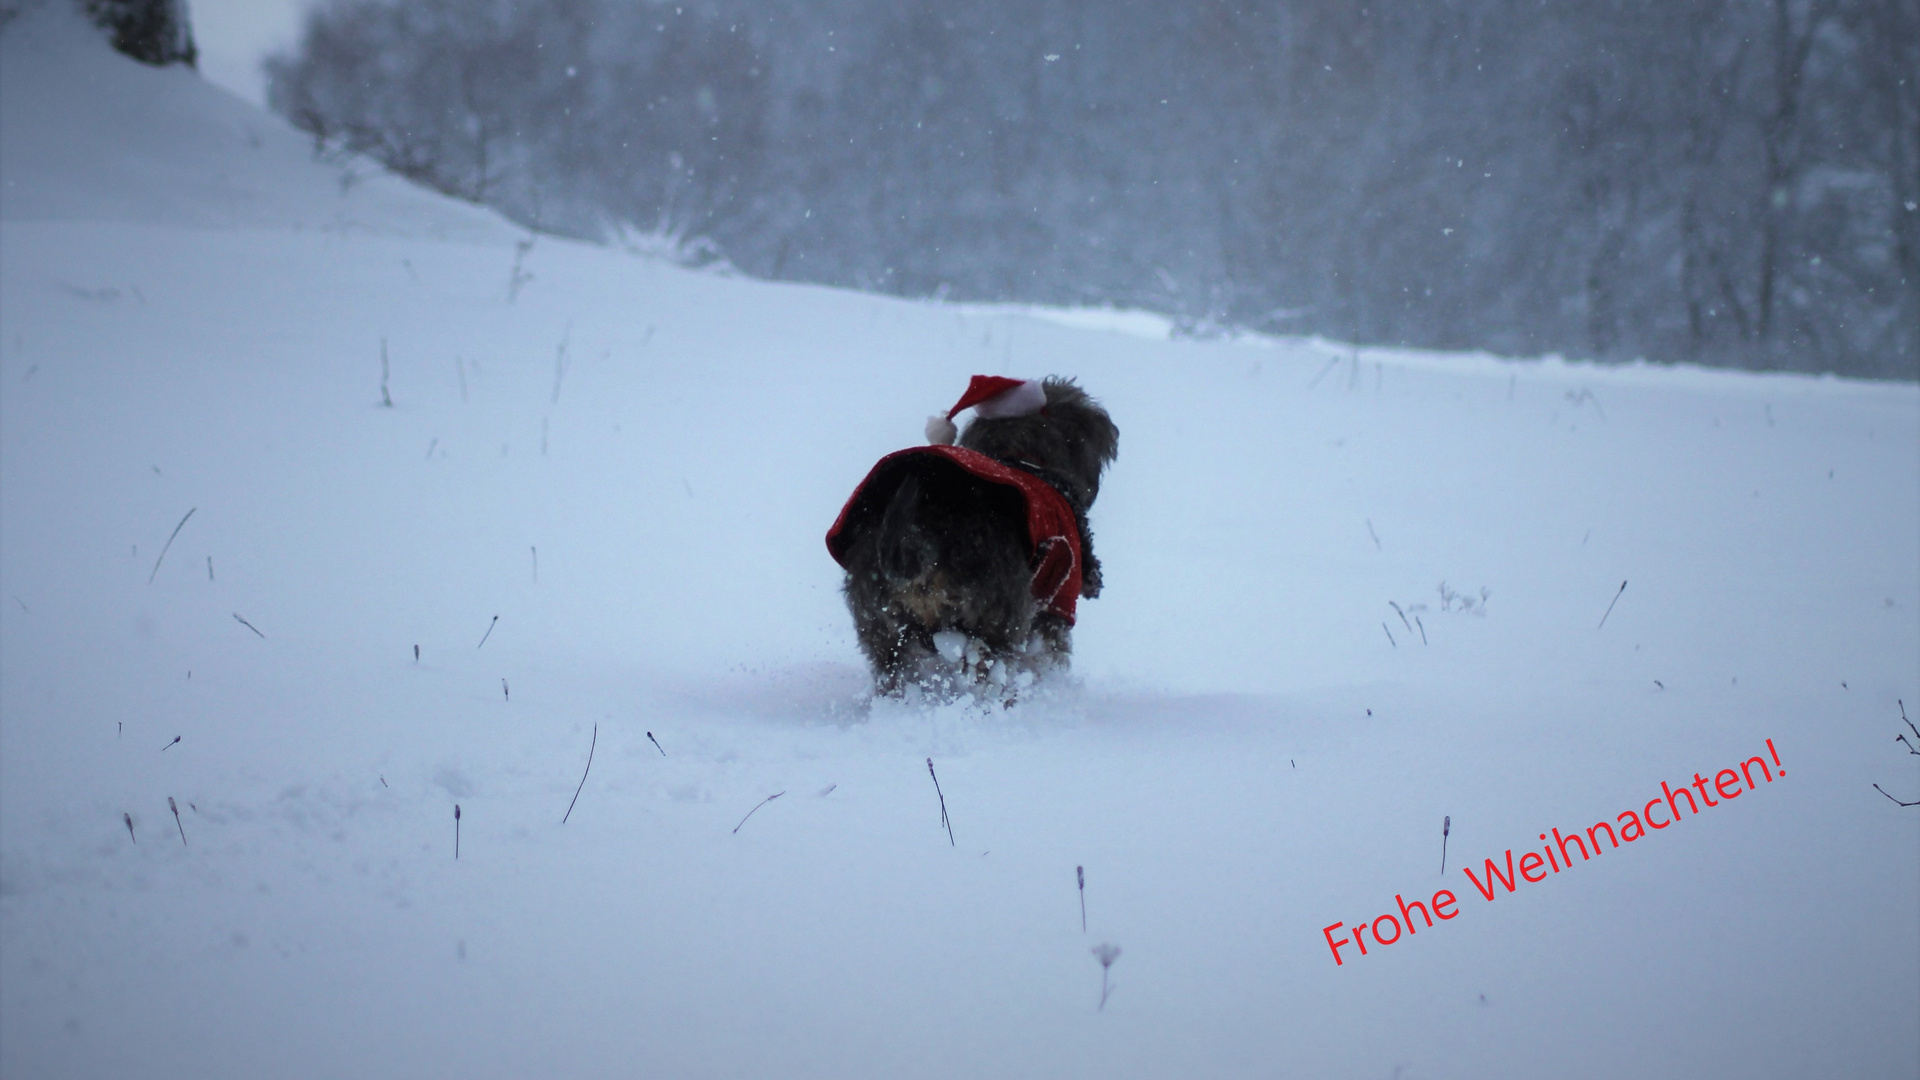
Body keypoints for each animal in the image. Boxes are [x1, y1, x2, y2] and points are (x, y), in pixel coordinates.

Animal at [829, 376, 1121, 699]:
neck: (1023, 457)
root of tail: (917, 534)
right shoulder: (1057, 605)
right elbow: (1048, 654)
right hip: (997, 616)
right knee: (991, 670)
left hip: (881, 627)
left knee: (895, 672)